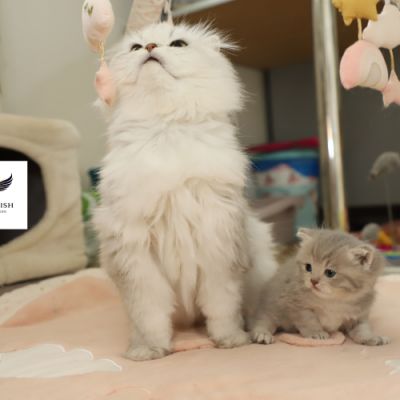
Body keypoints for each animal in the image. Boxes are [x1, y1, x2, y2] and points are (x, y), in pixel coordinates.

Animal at [94, 22, 277, 361]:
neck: (166, 130)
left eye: (178, 44)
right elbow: (150, 317)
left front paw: (230, 341)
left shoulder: (218, 245)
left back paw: (257, 334)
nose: (151, 47)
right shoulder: (135, 255)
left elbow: (222, 310)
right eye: (136, 48)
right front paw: (148, 351)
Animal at [250, 228, 390, 346]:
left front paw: (371, 338)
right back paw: (262, 334)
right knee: (262, 320)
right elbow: (308, 320)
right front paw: (316, 333)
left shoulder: (358, 314)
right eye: (308, 267)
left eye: (330, 273)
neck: (334, 300)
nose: (313, 281)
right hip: (272, 308)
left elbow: (362, 329)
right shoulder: (295, 304)